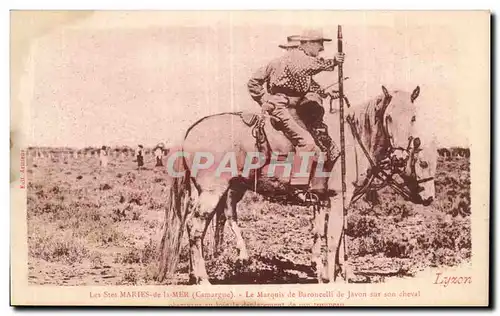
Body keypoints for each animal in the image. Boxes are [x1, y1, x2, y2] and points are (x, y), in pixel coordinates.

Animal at [157, 86, 438, 284]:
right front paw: (332, 277)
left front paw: (333, 271)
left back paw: (195, 274)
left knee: (201, 226)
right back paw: (204, 279)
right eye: (388, 117)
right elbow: (334, 237)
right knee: (196, 228)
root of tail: (192, 130)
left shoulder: (324, 200)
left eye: (413, 117)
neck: (352, 141)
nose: (429, 198)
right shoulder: (338, 199)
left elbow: (326, 234)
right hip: (213, 192)